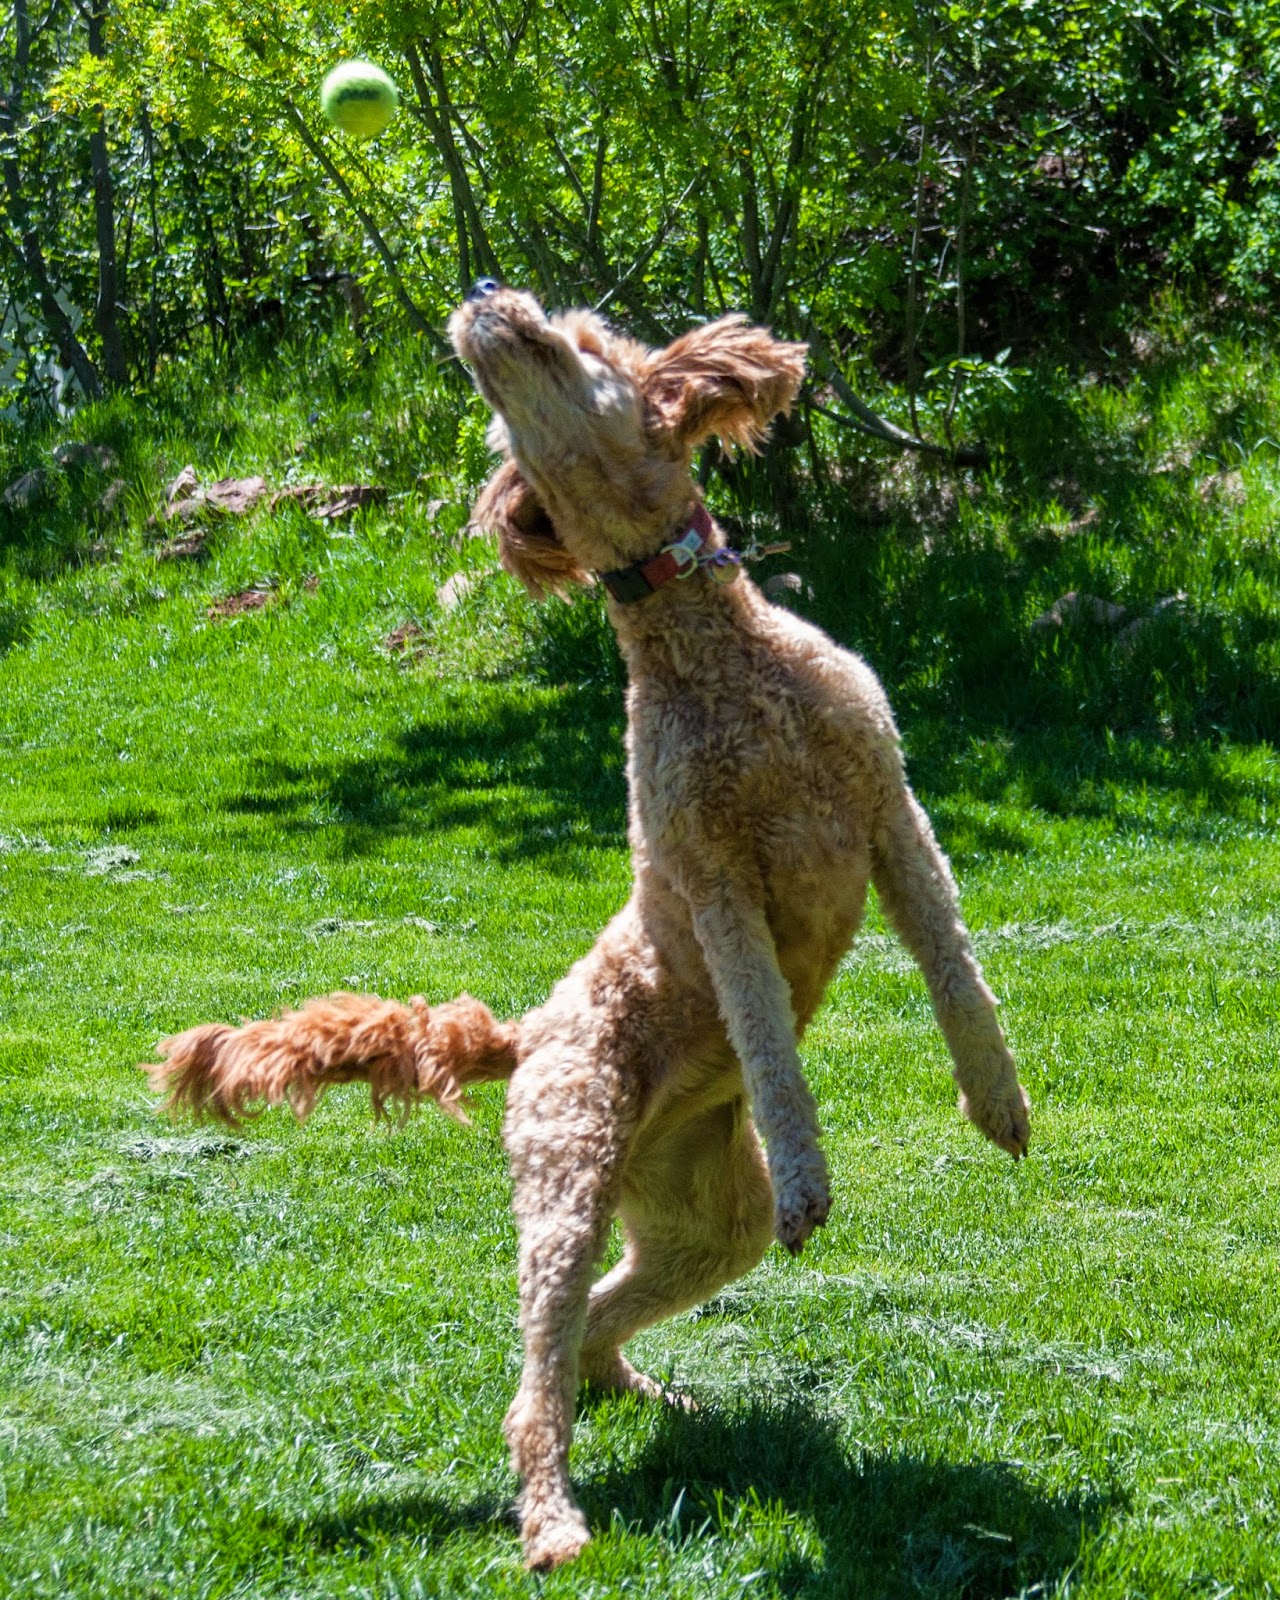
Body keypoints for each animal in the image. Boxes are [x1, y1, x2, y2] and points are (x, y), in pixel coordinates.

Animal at [147, 283, 1030, 1572]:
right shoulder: (713, 884)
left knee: (594, 1330)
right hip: (567, 1163)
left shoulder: (886, 806)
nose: (480, 296)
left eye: (579, 335)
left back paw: (648, 1393)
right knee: (533, 1381)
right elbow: (771, 1043)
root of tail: (523, 1032)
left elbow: (955, 970)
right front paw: (814, 1169)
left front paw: (997, 1099)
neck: (713, 653)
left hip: (704, 1220)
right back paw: (554, 1518)